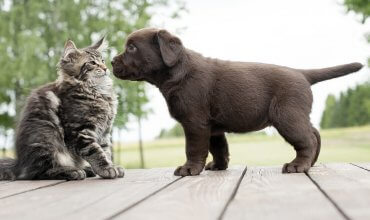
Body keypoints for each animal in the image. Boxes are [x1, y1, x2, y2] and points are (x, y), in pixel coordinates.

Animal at [0, 37, 124, 180]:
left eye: (102, 61)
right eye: (92, 63)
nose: (105, 68)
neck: (97, 91)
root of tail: (19, 164)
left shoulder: (104, 132)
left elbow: (105, 151)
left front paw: (111, 166)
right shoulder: (80, 132)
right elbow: (96, 152)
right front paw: (107, 169)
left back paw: (86, 169)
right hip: (47, 139)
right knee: (40, 172)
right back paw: (73, 171)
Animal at [111, 27, 362, 176]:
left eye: (132, 47)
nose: (112, 61)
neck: (176, 71)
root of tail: (301, 73)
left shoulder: (194, 122)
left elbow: (194, 148)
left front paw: (189, 169)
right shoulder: (212, 126)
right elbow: (219, 148)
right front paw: (218, 166)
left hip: (287, 116)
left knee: (307, 139)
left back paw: (298, 165)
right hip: (295, 115)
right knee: (314, 133)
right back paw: (311, 163)